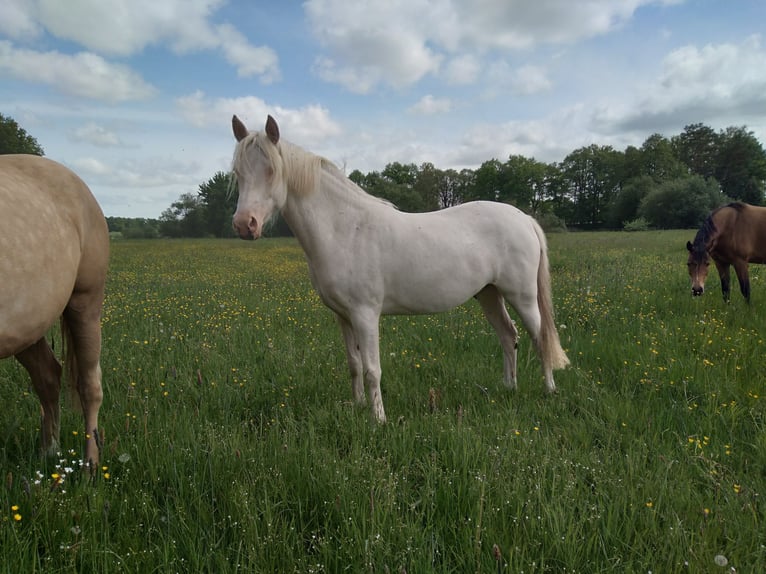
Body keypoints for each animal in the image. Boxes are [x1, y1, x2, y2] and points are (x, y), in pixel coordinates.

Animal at [0, 154, 109, 468]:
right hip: (27, 325)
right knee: (47, 376)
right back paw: (50, 451)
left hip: (85, 303)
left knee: (89, 386)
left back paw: (90, 465)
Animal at [228, 117, 568, 424]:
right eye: (238, 173)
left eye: (272, 171)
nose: (245, 225)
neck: (345, 229)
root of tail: (524, 219)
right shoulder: (343, 316)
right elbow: (353, 364)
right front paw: (357, 407)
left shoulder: (365, 314)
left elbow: (372, 370)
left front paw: (379, 420)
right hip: (488, 294)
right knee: (508, 336)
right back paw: (508, 387)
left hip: (521, 295)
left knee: (539, 336)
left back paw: (549, 390)